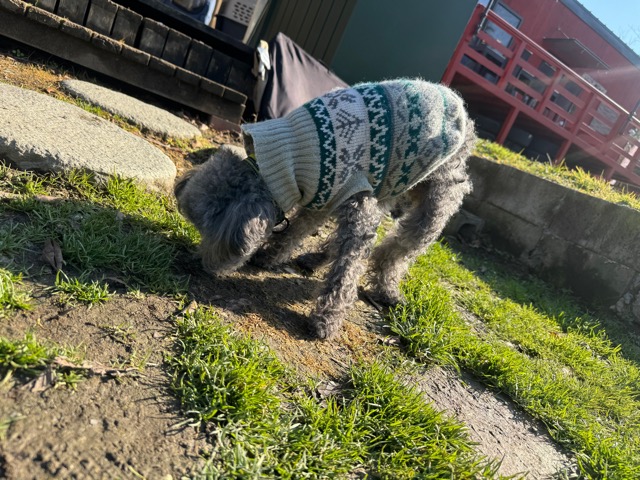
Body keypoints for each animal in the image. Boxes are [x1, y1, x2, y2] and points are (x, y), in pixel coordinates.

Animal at [175, 79, 475, 339]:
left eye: (206, 230)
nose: (196, 263)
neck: (288, 160)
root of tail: (459, 103)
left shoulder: (354, 201)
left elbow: (346, 271)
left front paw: (327, 318)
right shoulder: (322, 194)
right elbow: (297, 228)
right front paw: (271, 255)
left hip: (437, 200)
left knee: (397, 250)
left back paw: (387, 289)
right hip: (390, 184)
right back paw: (314, 259)